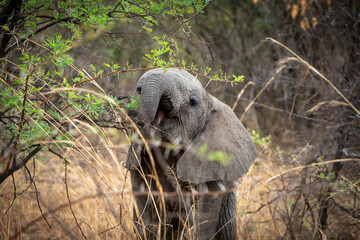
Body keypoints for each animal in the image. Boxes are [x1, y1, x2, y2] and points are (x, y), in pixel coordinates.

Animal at [125, 68, 258, 240]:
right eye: (138, 90)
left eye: (193, 101)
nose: (138, 119)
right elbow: (146, 218)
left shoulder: (213, 173)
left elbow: (202, 222)